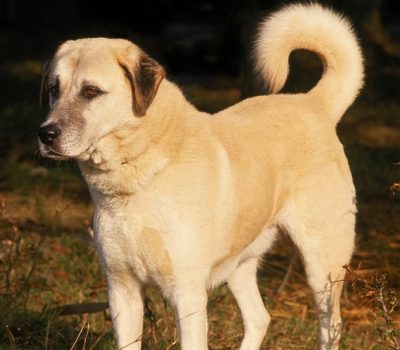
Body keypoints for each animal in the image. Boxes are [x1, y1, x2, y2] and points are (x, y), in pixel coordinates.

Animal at [37, 3, 362, 350]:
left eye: (91, 91)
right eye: (54, 90)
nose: (46, 134)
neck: (139, 175)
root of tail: (313, 103)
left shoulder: (188, 294)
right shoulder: (122, 291)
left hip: (322, 265)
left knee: (331, 324)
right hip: (240, 264)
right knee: (260, 317)